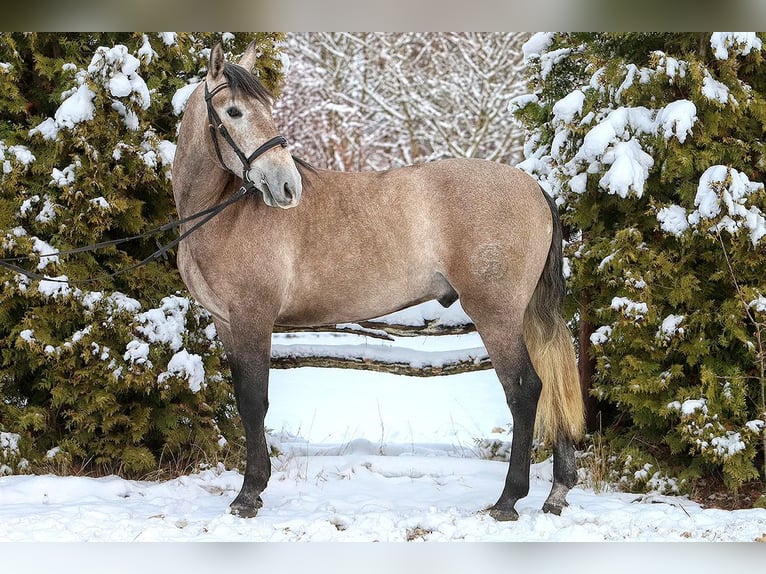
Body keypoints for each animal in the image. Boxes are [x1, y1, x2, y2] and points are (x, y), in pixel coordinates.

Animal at [171, 42, 584, 521]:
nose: (288, 186)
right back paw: (557, 492)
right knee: (553, 384)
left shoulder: (253, 318)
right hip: (526, 314)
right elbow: (244, 400)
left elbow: (256, 401)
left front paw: (248, 493)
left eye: (267, 109)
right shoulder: (226, 322)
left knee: (526, 391)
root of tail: (533, 187)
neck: (222, 214)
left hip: (496, 315)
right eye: (234, 111)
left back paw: (508, 500)